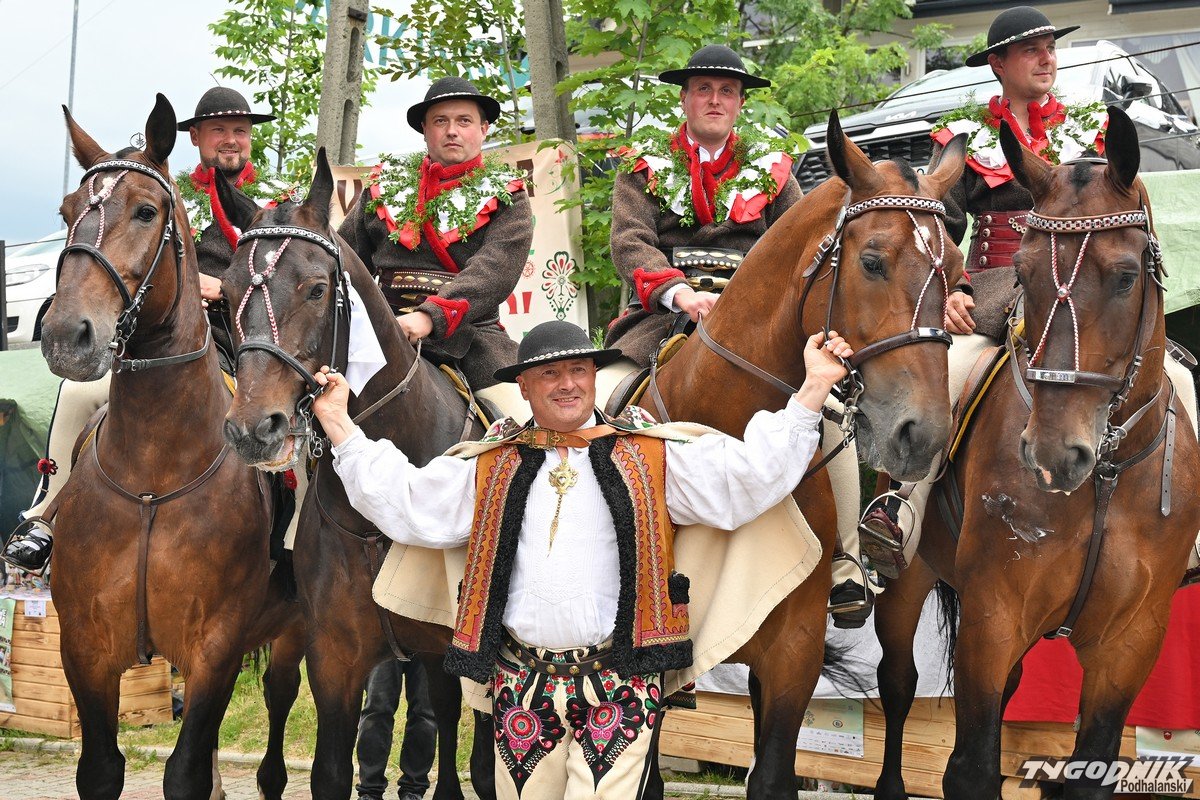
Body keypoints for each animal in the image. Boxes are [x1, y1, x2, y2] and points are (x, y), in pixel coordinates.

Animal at [40, 94, 306, 800]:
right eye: (66, 213)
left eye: (144, 210)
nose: (65, 334)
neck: (154, 474)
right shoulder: (85, 647)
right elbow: (101, 770)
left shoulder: (215, 646)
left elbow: (184, 773)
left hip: (291, 635)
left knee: (277, 709)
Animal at [218, 150, 493, 800]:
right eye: (229, 291)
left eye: (317, 288)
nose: (252, 428)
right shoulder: (336, 664)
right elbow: (330, 773)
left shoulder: (450, 650)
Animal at [871, 106, 1200, 800]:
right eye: (1022, 275)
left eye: (1127, 277)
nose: (1052, 453)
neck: (1105, 476)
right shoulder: (994, 617)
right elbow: (971, 769)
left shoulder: (1129, 644)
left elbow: (1089, 766)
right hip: (910, 576)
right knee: (898, 683)